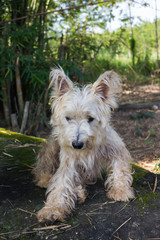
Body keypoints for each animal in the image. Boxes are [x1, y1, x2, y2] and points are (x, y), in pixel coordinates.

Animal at [33, 68, 134, 222]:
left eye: (90, 118)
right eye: (68, 118)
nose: (77, 144)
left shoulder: (116, 149)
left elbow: (120, 169)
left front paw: (121, 190)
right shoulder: (68, 163)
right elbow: (61, 184)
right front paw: (52, 208)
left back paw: (78, 192)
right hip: (53, 145)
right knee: (44, 163)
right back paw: (46, 179)